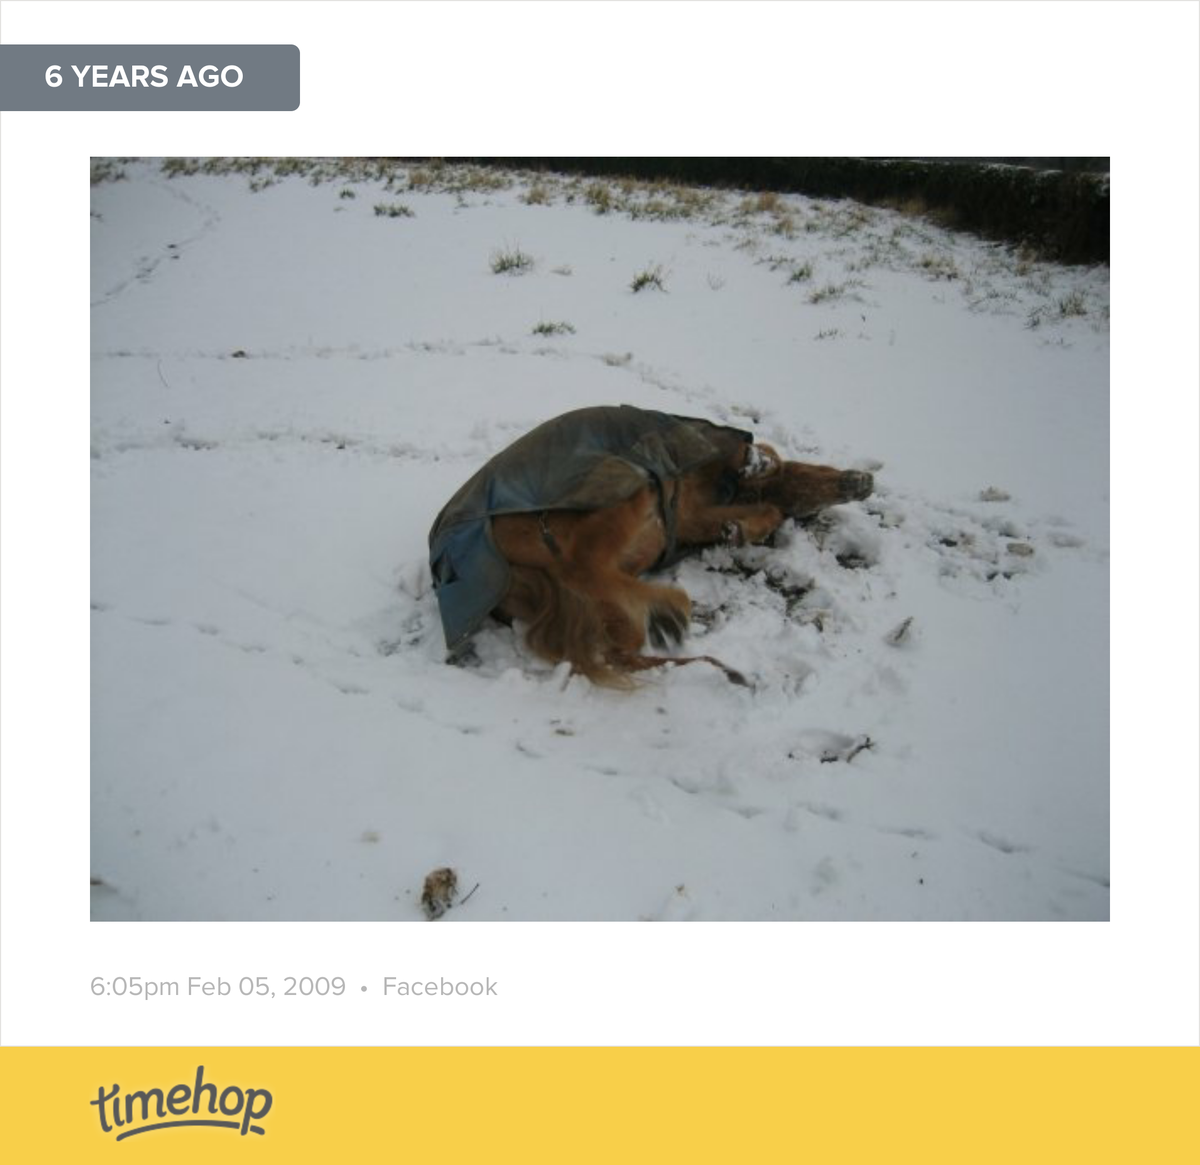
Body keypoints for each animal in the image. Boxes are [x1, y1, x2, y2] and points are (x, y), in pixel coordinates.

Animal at [428, 405, 873, 686]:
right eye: (822, 471)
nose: (863, 481)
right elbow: (763, 473)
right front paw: (757, 464)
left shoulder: (692, 513)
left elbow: (763, 511)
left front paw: (738, 527)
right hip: (630, 482)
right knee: (584, 565)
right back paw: (667, 611)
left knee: (603, 602)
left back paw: (655, 616)